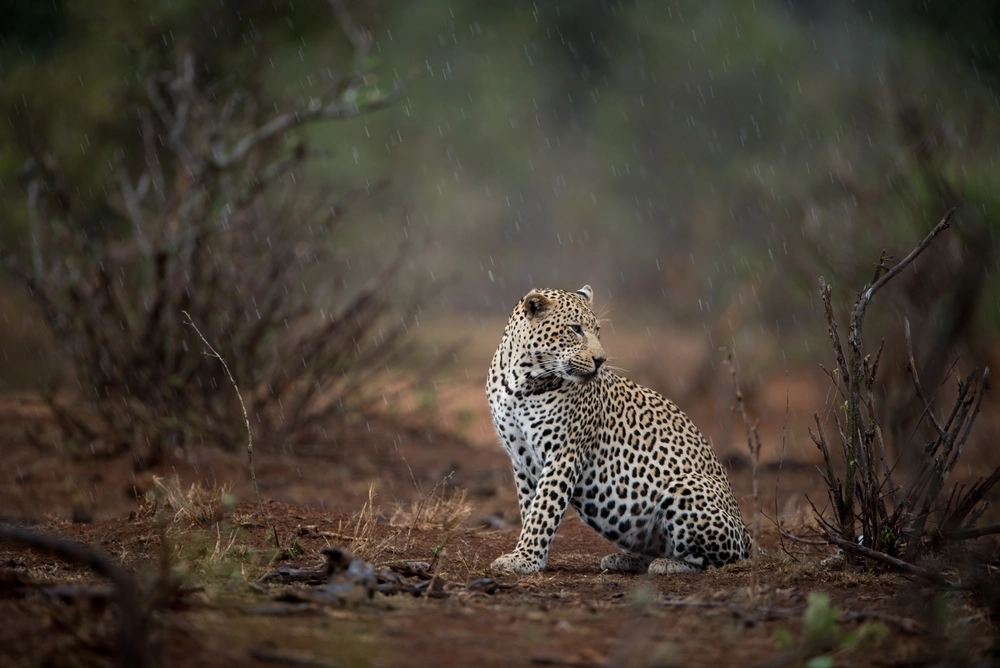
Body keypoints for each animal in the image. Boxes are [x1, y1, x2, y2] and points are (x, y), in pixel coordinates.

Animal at [487, 285, 750, 575]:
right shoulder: (521, 458)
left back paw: (669, 564)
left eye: (597, 330)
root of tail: (747, 536)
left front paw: (524, 558)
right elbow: (530, 508)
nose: (601, 360)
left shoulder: (564, 453)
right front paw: (532, 557)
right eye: (575, 328)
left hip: (687, 488)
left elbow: (544, 509)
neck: (521, 380)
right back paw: (625, 560)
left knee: (718, 559)